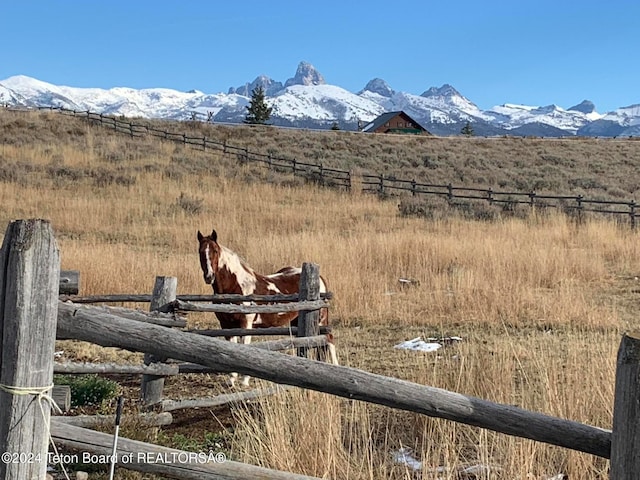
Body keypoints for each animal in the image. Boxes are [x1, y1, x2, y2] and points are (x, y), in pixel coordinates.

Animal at [196, 229, 332, 386]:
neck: (235, 287)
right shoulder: (226, 324)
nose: (209, 276)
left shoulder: (246, 323)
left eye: (215, 250)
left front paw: (245, 381)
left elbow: (245, 347)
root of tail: (319, 278)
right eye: (201, 251)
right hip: (297, 321)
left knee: (328, 340)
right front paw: (232, 380)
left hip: (321, 319)